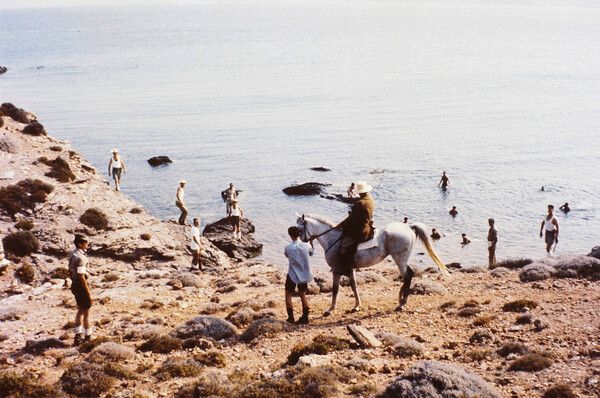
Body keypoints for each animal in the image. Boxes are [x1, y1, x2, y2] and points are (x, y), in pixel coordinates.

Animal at [298, 215, 448, 318]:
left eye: (299, 229)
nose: (302, 243)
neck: (332, 239)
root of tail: (408, 227)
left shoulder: (336, 270)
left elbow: (335, 290)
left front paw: (330, 309)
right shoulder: (350, 270)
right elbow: (354, 286)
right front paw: (356, 306)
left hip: (400, 259)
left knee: (407, 275)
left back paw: (401, 303)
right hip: (402, 260)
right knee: (409, 274)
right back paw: (401, 300)